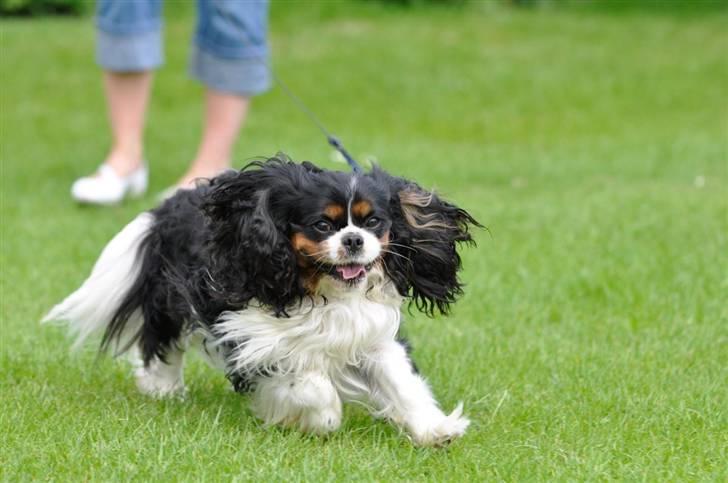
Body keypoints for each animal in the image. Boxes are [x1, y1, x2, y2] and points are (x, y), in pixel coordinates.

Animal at [42, 155, 480, 446]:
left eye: (374, 222)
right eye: (323, 225)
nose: (354, 240)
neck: (322, 291)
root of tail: (167, 206)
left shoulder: (374, 337)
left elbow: (402, 382)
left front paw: (434, 429)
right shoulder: (255, 336)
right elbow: (311, 384)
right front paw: (318, 419)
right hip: (171, 296)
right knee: (162, 342)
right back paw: (163, 388)